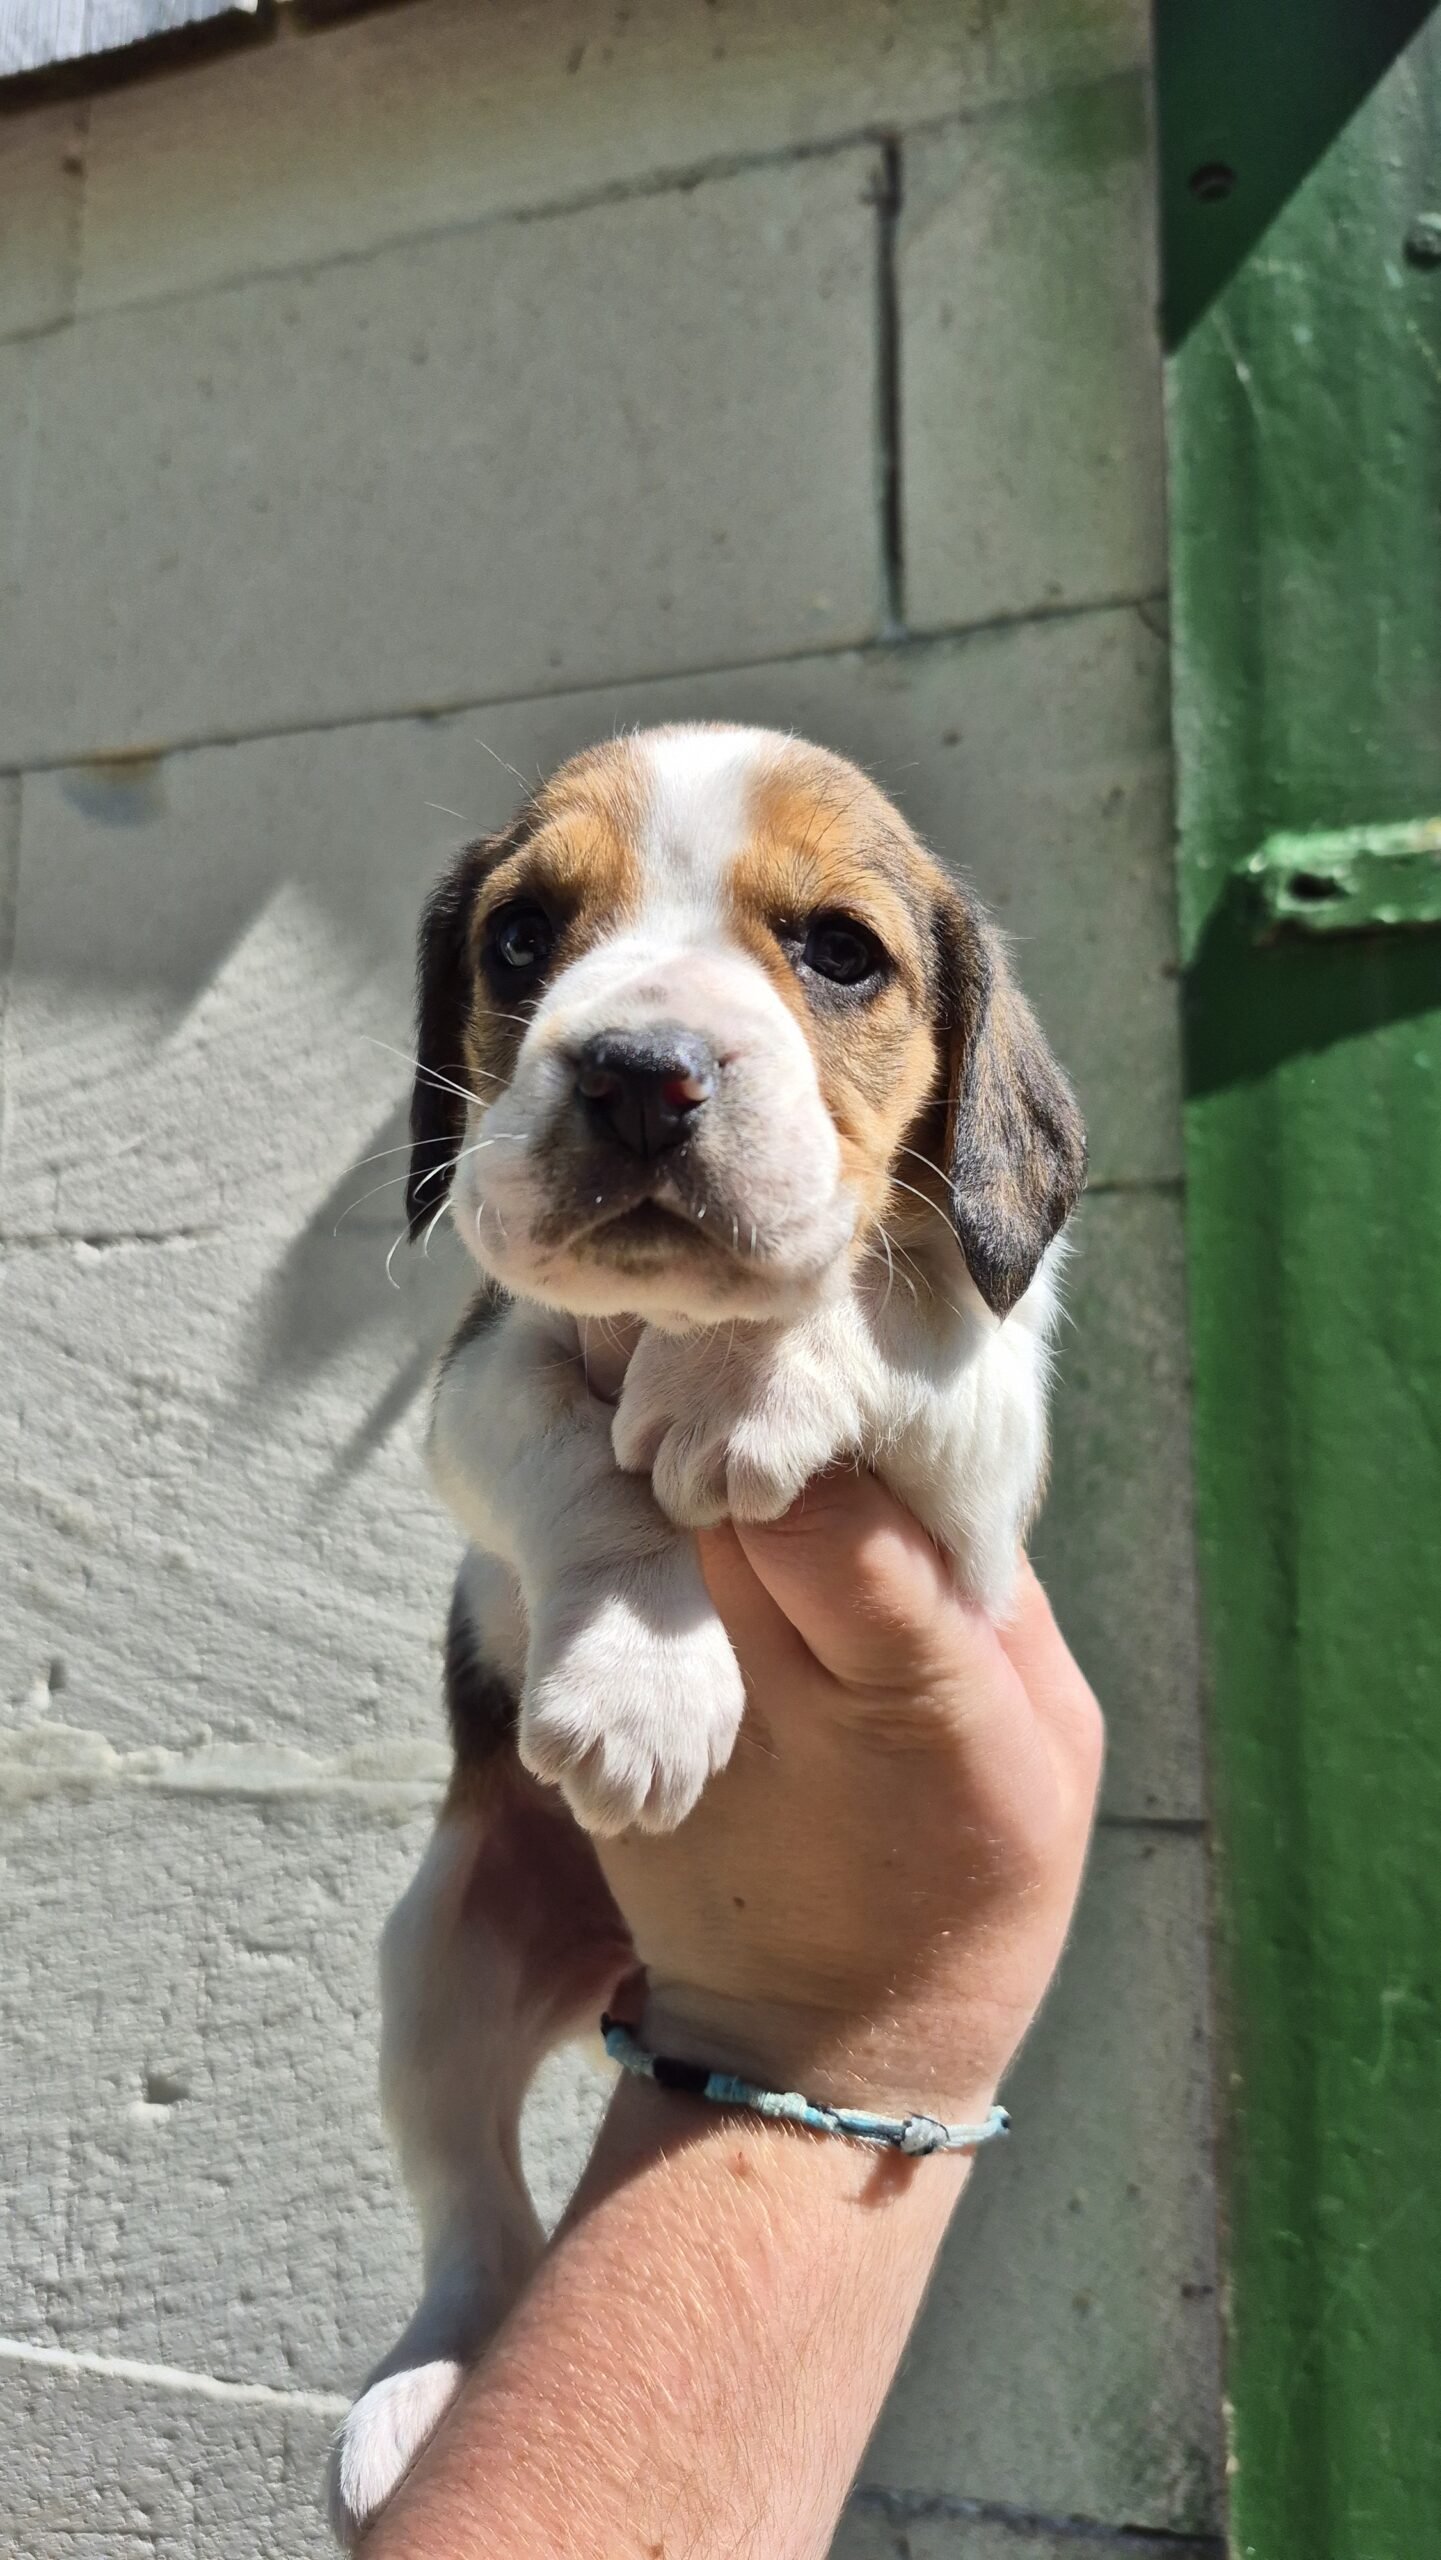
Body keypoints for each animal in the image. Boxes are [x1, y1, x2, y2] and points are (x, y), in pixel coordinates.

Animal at [328, 724, 1086, 2542]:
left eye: (839, 954)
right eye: (521, 940)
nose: (635, 1074)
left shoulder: (986, 1477)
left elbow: (898, 1304)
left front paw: (755, 1374)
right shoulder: (483, 1371)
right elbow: (575, 1465)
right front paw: (643, 1684)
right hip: (435, 1966)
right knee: (472, 2207)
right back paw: (422, 2389)